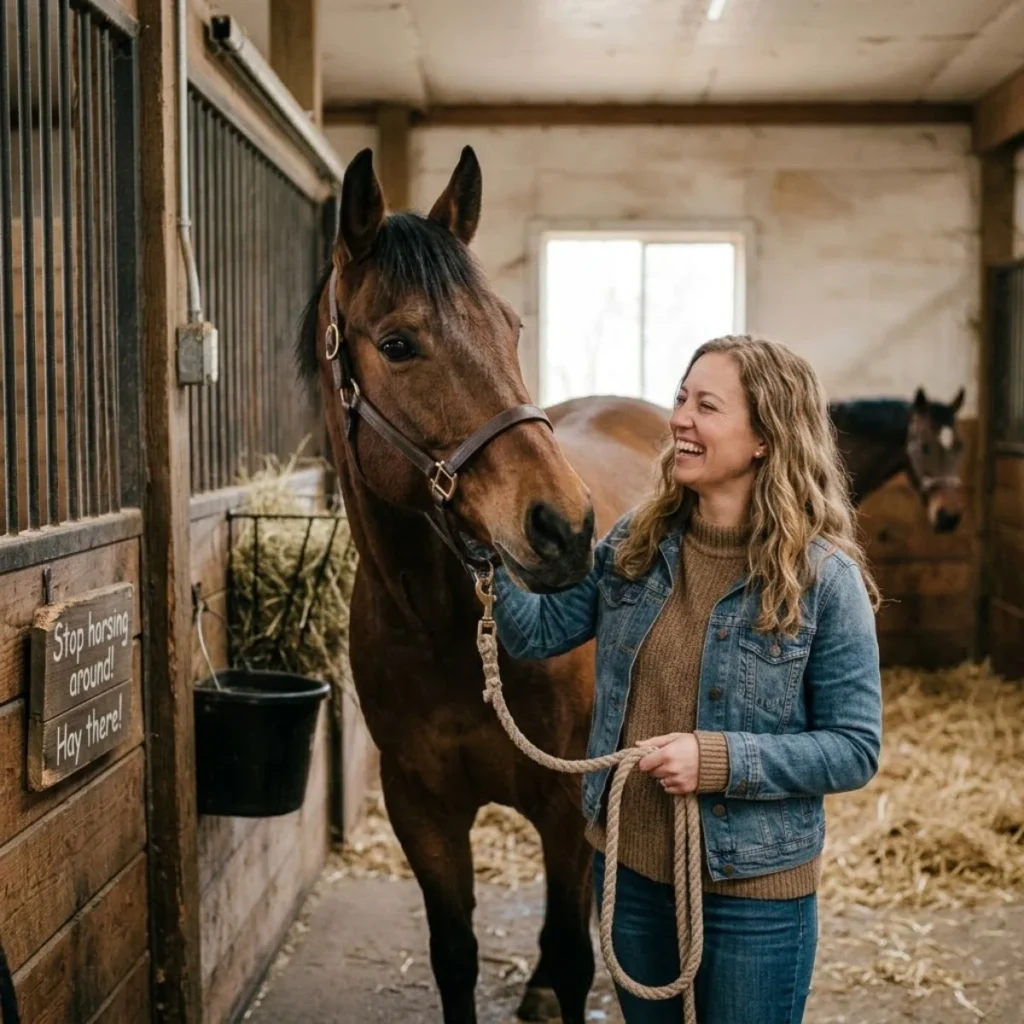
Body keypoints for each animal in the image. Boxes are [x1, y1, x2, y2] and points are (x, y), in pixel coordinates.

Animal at [297, 145, 667, 1024]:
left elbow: (572, 951)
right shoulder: (422, 811)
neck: (442, 632)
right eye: (398, 343)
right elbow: (455, 955)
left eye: (511, 327)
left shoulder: (564, 803)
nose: (565, 527)